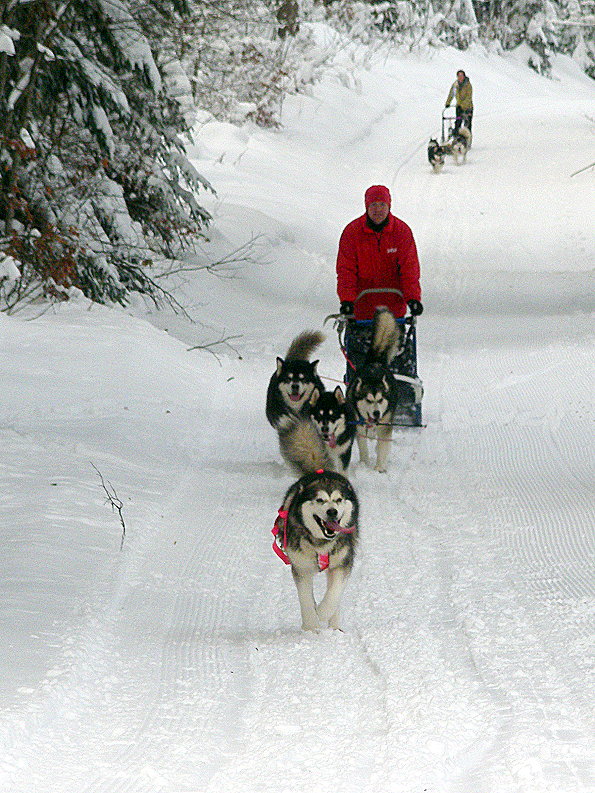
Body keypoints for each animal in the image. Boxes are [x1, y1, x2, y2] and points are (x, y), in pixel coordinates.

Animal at [274, 420, 358, 632]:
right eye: (320, 500)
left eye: (338, 500)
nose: (332, 512)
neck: (321, 544)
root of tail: (318, 469)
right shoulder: (301, 567)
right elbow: (305, 599)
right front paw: (311, 626)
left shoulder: (342, 564)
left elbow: (334, 594)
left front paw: (322, 612)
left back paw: (335, 627)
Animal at [346, 306, 416, 470]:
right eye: (368, 400)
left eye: (380, 399)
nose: (377, 413)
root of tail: (375, 362)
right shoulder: (359, 426)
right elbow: (363, 447)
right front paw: (365, 464)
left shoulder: (385, 425)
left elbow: (383, 445)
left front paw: (379, 468)